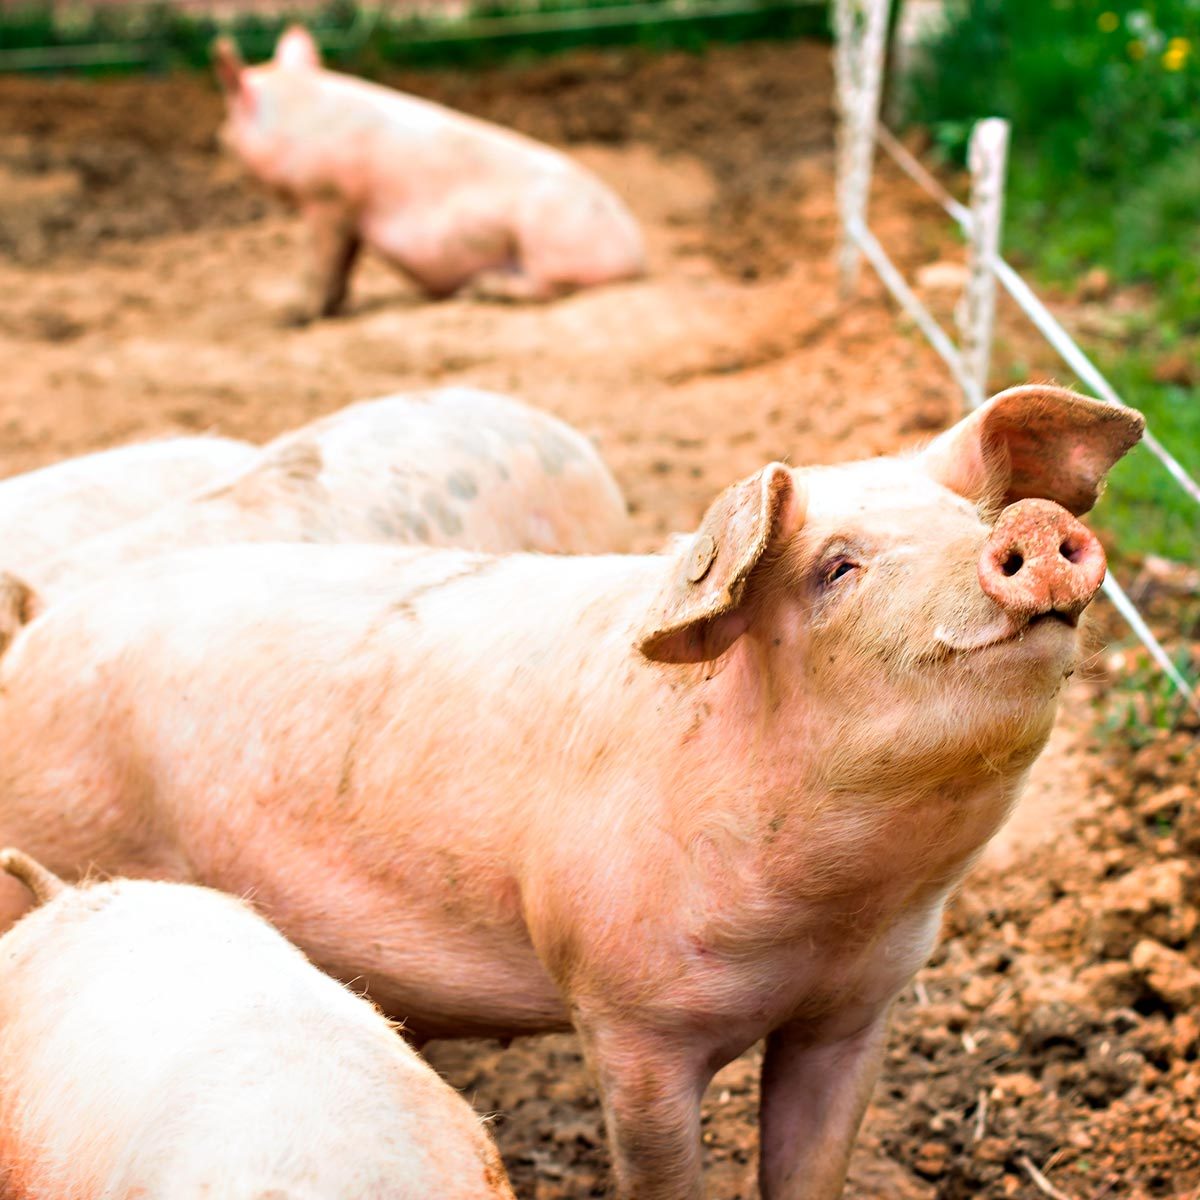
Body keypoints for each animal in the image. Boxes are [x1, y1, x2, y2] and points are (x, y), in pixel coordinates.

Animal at [213, 26, 646, 321]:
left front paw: (292, 316)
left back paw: (479, 291)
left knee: (551, 287)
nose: (218, 138)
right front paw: (333, 308)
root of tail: (636, 254)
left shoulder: (327, 197)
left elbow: (318, 262)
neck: (294, 120)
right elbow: (342, 266)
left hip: (548, 238)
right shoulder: (350, 212)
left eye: (227, 121)